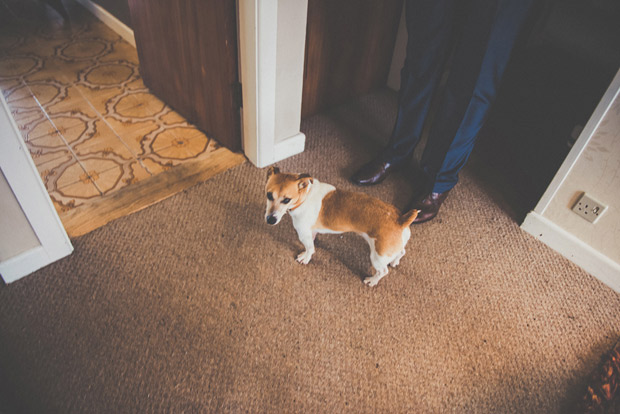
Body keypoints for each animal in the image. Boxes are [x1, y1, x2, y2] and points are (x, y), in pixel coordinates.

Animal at [264, 167, 418, 286]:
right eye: (269, 195)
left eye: (286, 200)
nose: (270, 220)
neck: (305, 197)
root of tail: (400, 220)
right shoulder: (310, 232)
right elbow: (313, 241)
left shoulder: (303, 234)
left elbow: (310, 249)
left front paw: (305, 257)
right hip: (389, 250)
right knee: (401, 252)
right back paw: (395, 262)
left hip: (377, 257)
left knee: (383, 271)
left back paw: (372, 281)